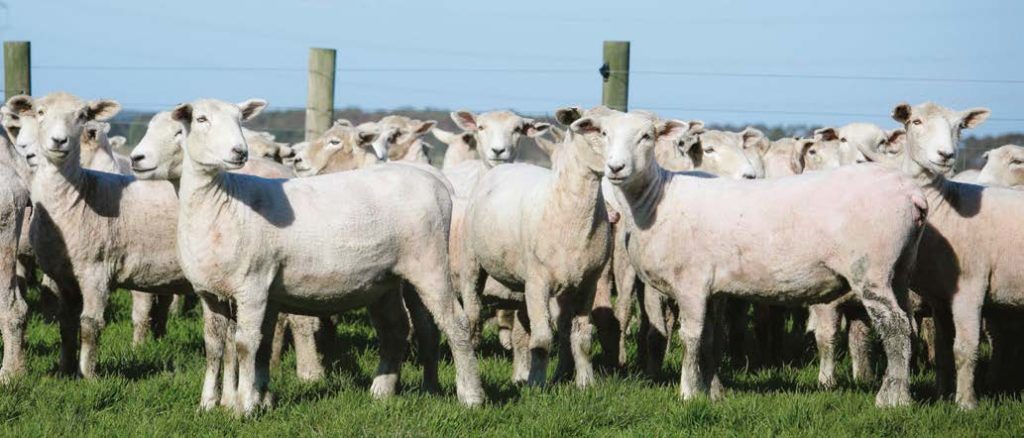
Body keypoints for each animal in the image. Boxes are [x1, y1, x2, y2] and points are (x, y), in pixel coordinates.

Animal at [456, 105, 606, 386]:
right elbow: (542, 338)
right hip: (472, 263)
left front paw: (586, 383)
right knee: (473, 312)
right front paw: (536, 383)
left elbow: (582, 336)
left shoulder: (588, 282)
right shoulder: (538, 281)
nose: (498, 150)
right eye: (589, 126)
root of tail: (499, 169)